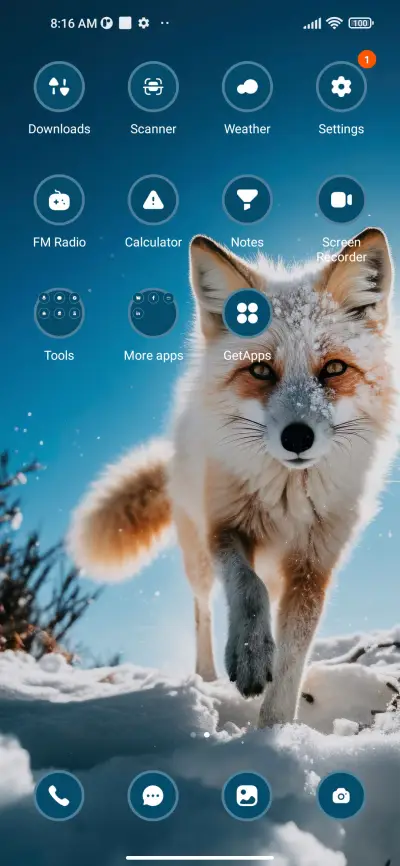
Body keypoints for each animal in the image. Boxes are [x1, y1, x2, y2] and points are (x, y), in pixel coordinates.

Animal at [69, 228, 396, 728]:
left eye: (335, 369)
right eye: (259, 369)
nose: (297, 437)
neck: (288, 498)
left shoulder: (313, 564)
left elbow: (293, 658)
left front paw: (274, 729)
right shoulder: (224, 527)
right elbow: (247, 587)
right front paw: (250, 655)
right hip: (197, 558)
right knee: (202, 611)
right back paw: (205, 677)